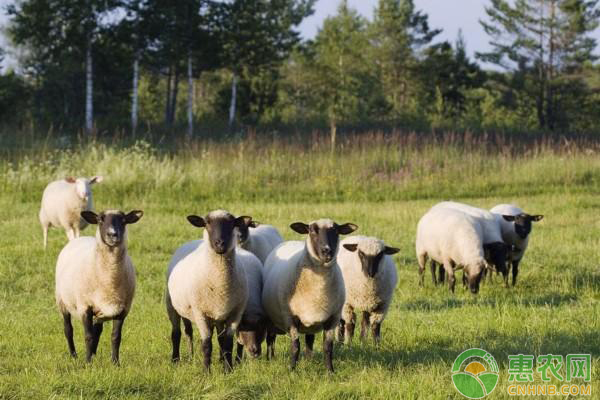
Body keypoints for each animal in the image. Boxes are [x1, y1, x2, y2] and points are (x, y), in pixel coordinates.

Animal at [54, 209, 143, 362]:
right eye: (100, 220)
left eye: (123, 220)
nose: (112, 234)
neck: (110, 280)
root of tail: (79, 238)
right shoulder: (85, 307)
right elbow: (88, 336)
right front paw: (88, 362)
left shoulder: (122, 309)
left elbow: (115, 337)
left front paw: (115, 362)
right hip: (62, 301)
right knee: (68, 329)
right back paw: (74, 355)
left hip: (100, 311)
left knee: (97, 330)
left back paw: (94, 354)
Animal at [165, 211, 254, 370]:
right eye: (207, 224)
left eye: (232, 224)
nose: (220, 243)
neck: (220, 284)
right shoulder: (200, 313)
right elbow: (206, 345)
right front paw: (206, 370)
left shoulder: (235, 314)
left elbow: (227, 344)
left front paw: (228, 369)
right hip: (171, 304)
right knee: (176, 333)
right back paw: (175, 359)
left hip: (216, 316)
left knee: (216, 337)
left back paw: (217, 360)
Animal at [262, 219, 356, 372]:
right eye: (312, 230)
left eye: (336, 231)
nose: (327, 251)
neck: (318, 290)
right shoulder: (290, 317)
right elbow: (295, 347)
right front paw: (292, 370)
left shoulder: (333, 319)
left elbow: (328, 348)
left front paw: (330, 371)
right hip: (272, 318)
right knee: (271, 338)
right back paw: (270, 358)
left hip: (311, 323)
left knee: (309, 340)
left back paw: (308, 360)